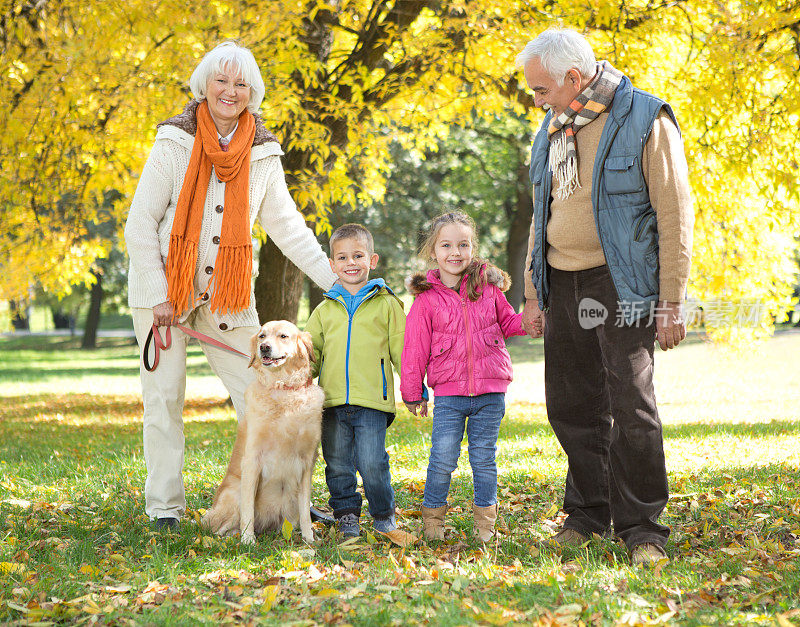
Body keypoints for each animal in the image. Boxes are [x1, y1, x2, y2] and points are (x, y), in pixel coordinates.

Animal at [200, 322, 324, 544]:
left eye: (283, 336)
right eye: (262, 336)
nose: (264, 348)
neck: (282, 388)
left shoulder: (307, 460)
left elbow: (305, 510)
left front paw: (309, 538)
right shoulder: (252, 459)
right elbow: (248, 507)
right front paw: (248, 540)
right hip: (233, 492)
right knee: (219, 528)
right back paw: (232, 537)